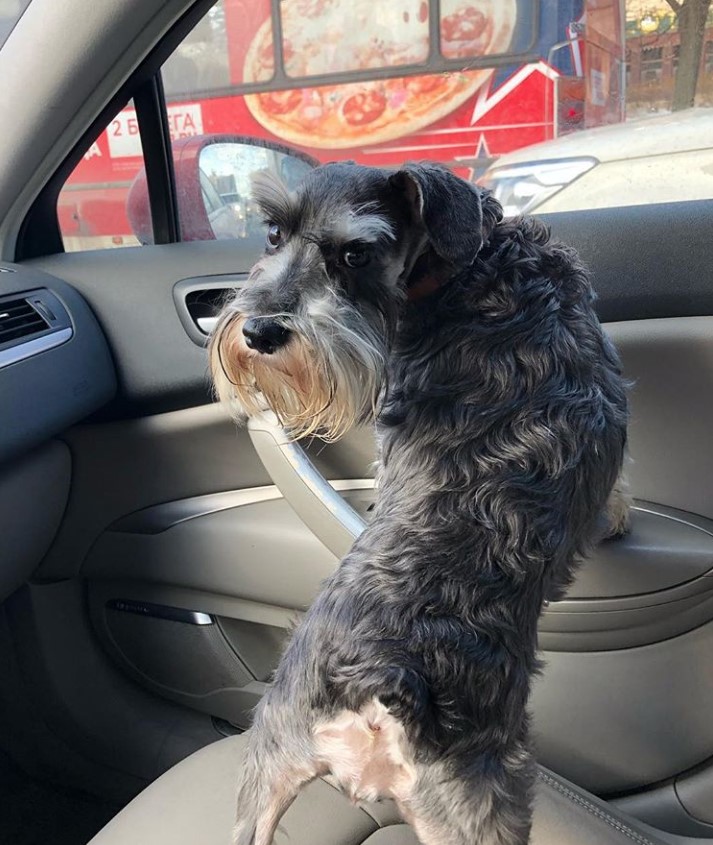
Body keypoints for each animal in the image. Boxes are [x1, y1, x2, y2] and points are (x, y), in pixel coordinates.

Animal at [209, 160, 624, 844]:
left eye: (356, 252)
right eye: (272, 232)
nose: (259, 330)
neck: (474, 264)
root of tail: (380, 683)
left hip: (269, 756)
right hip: (484, 807)